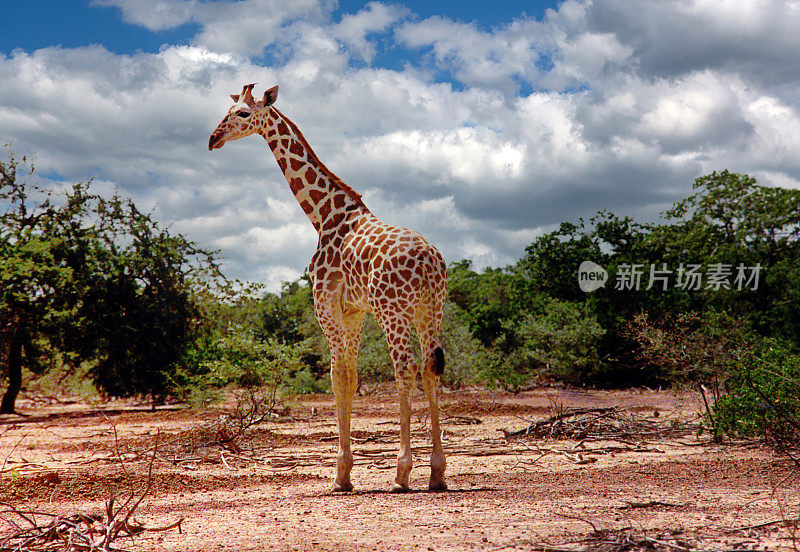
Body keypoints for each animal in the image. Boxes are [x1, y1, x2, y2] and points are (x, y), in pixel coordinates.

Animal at [209, 83, 446, 492]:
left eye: (242, 114)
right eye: (229, 108)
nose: (213, 138)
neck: (324, 217)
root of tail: (431, 261)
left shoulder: (327, 306)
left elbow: (338, 379)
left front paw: (341, 475)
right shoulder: (354, 312)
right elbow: (350, 379)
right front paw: (346, 471)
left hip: (394, 310)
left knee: (405, 368)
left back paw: (402, 473)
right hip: (430, 310)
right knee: (431, 367)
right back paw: (437, 473)